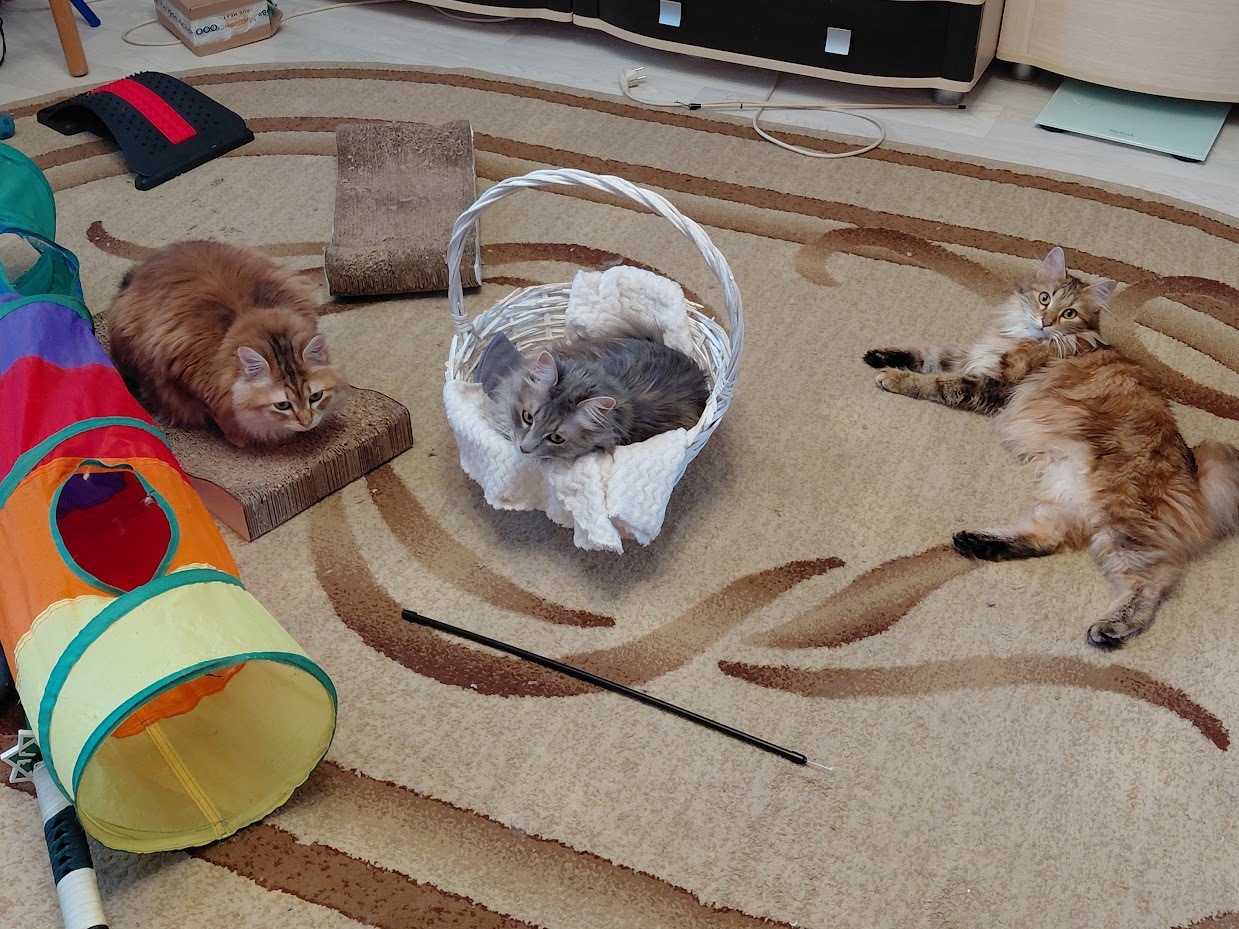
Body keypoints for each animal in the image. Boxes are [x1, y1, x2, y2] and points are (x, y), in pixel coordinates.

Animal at [106, 240, 348, 448]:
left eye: (315, 397)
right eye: (282, 405)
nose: (306, 423)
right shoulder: (184, 377)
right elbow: (215, 413)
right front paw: (238, 437)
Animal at [865, 246, 1239, 648]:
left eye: (1069, 313)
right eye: (1045, 298)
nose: (1044, 322)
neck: (1027, 337)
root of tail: (1196, 477)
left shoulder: (991, 385)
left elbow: (935, 382)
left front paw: (893, 378)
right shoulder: (972, 358)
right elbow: (930, 354)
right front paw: (881, 355)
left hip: (1120, 522)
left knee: (1153, 582)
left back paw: (1110, 628)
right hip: (1065, 496)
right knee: (1049, 540)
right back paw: (976, 542)